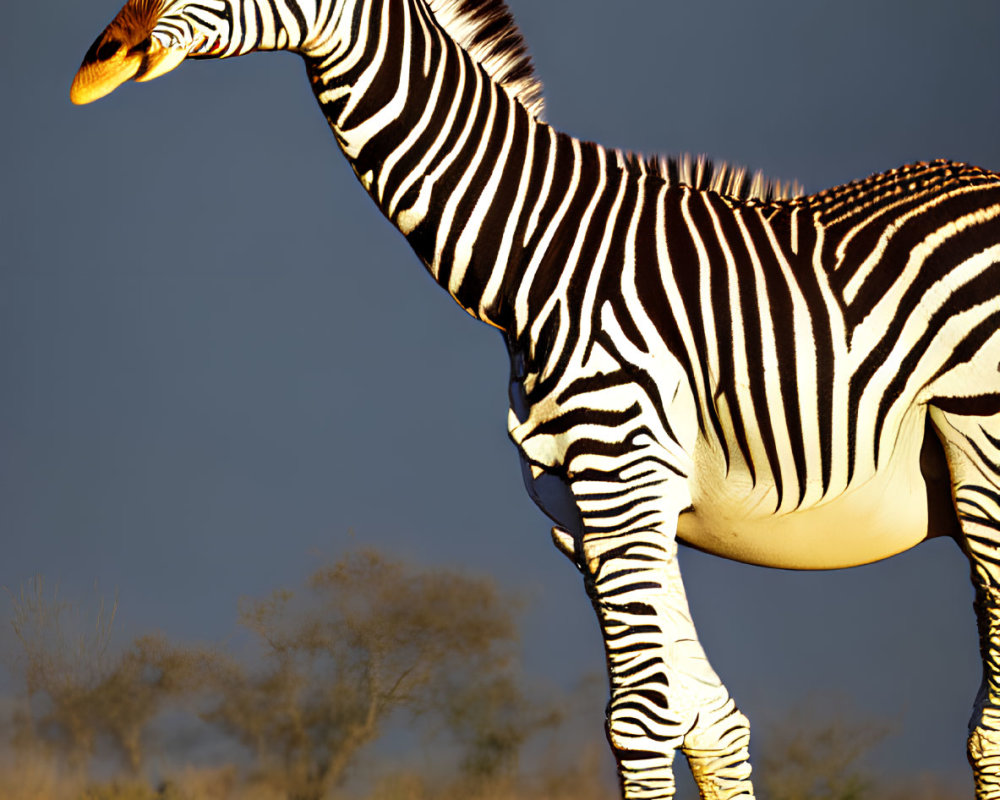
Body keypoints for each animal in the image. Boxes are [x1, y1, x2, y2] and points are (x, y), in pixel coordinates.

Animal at [70, 1, 1000, 800]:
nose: (92, 72)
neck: (534, 253)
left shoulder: (624, 472)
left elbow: (643, 720)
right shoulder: (582, 510)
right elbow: (709, 721)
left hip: (981, 452)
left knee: (990, 722)